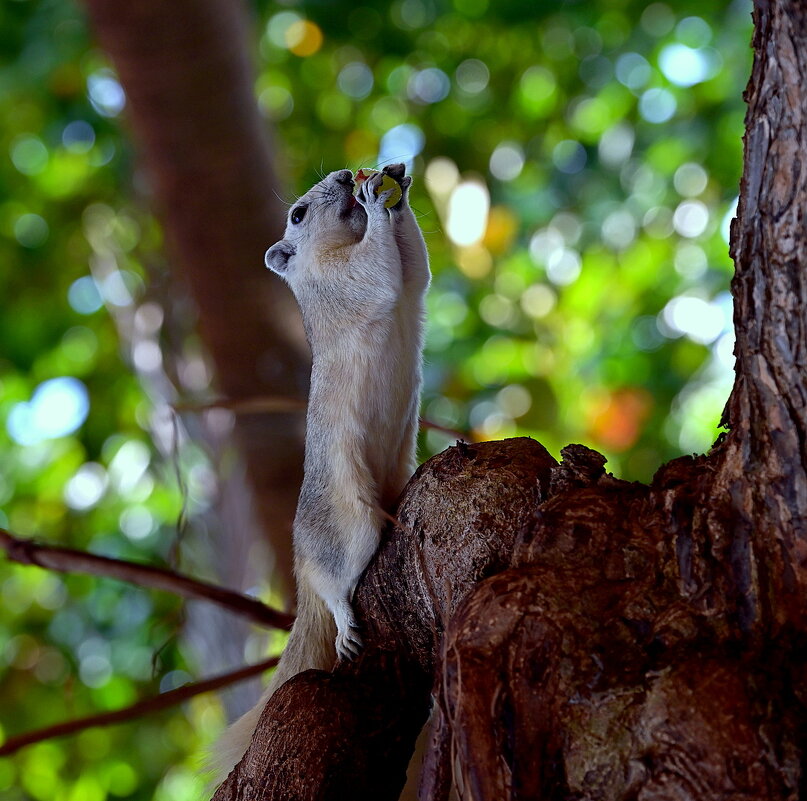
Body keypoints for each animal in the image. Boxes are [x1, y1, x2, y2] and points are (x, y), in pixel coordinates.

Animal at [213, 161, 430, 776]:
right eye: (298, 213)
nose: (344, 173)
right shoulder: (344, 284)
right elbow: (381, 272)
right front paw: (376, 201)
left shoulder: (407, 279)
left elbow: (416, 264)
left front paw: (398, 187)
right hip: (346, 525)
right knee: (334, 579)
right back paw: (344, 618)